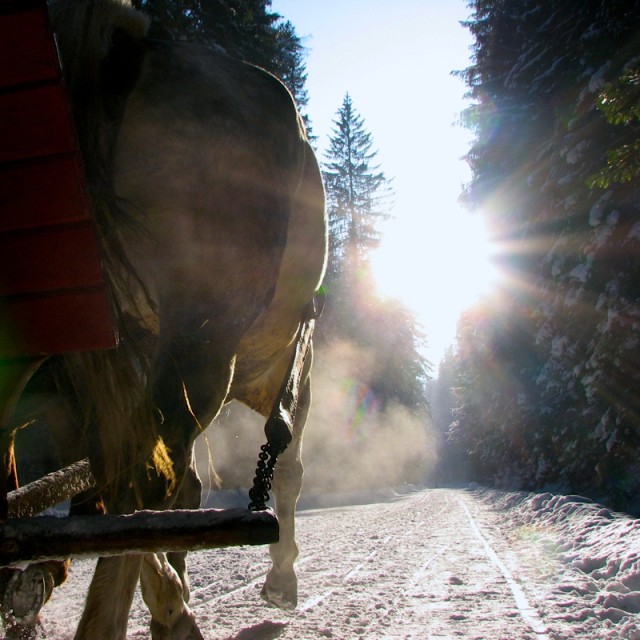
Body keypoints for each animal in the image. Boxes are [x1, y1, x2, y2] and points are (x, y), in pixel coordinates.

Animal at [5, 1, 324, 636]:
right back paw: (141, 616)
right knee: (147, 483)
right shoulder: (287, 369)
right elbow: (289, 464)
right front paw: (280, 580)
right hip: (201, 341)